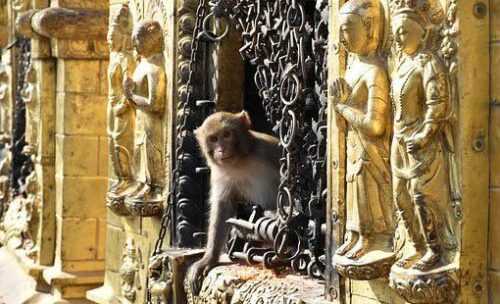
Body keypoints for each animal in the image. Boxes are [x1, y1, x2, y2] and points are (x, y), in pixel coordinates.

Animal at [188, 110, 282, 294]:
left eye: (227, 134)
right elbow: (223, 207)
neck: (240, 161)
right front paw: (209, 259)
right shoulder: (218, 174)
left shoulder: (268, 149)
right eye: (213, 138)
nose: (221, 149)